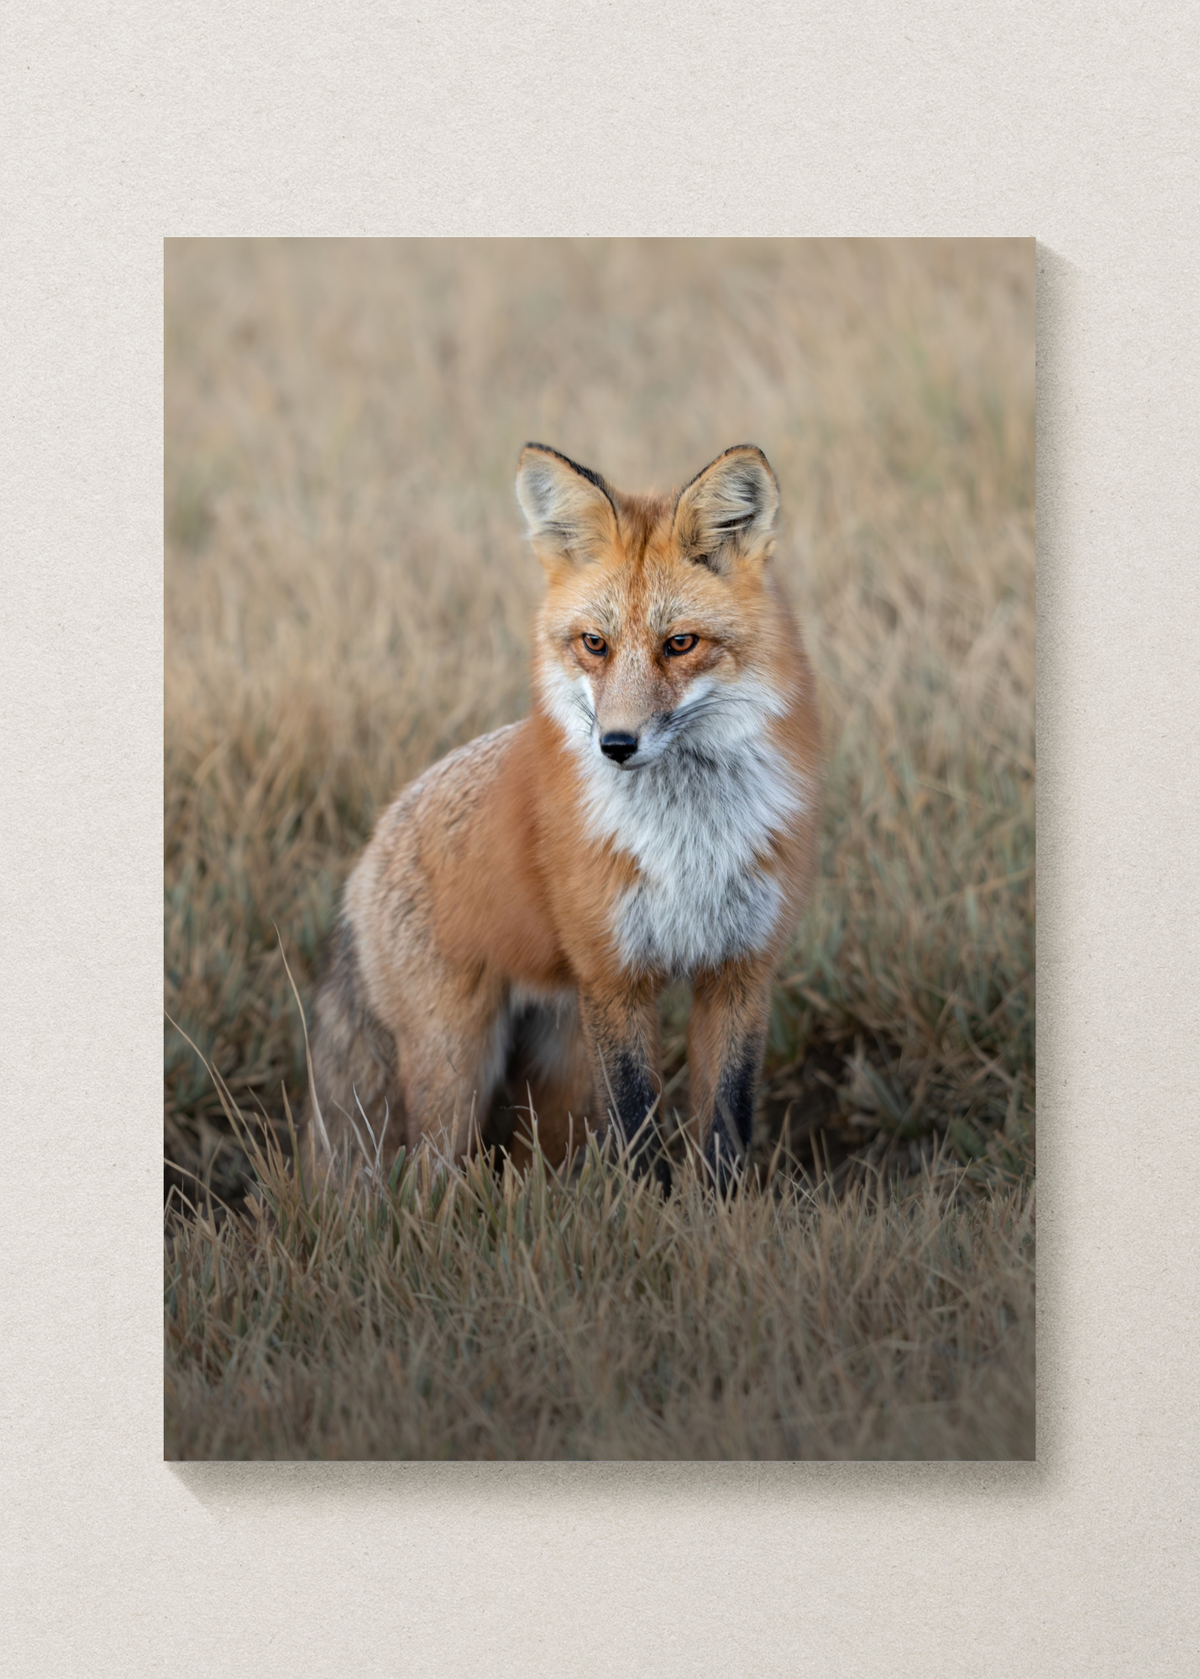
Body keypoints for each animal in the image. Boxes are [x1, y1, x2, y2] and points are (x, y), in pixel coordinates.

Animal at [306, 442, 821, 1191]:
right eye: (594, 643)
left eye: (681, 643)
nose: (616, 744)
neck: (687, 845)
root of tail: (372, 845)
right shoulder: (613, 978)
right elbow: (635, 1127)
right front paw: (648, 1209)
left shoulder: (741, 971)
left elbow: (726, 1126)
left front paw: (719, 1213)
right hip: (459, 1064)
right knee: (428, 1169)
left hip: (558, 1062)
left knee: (530, 1155)